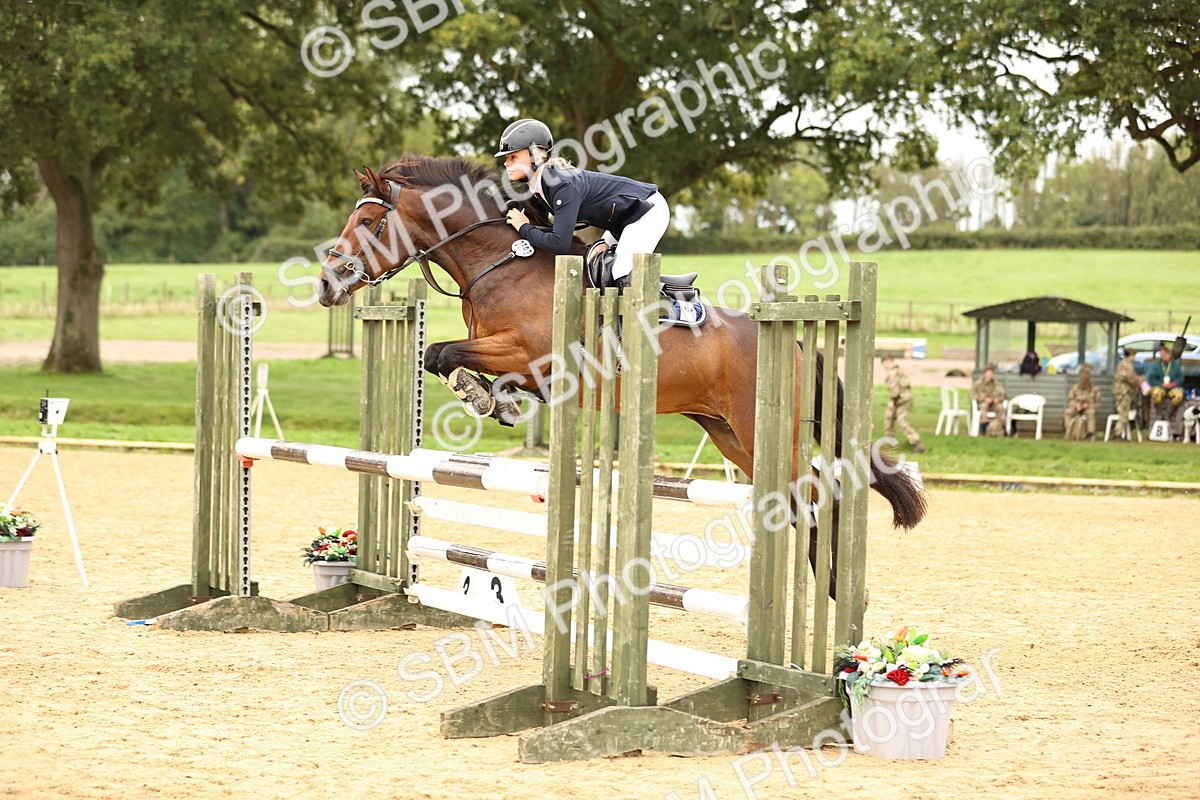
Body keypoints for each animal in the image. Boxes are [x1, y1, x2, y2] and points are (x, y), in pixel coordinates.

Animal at [316, 155, 926, 595]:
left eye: (368, 222)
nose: (325, 285)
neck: (502, 264)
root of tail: (796, 340)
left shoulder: (531, 355)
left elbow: (444, 354)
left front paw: (487, 398)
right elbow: (439, 357)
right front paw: (493, 400)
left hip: (764, 429)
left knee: (820, 491)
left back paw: (829, 592)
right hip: (729, 434)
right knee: (800, 498)